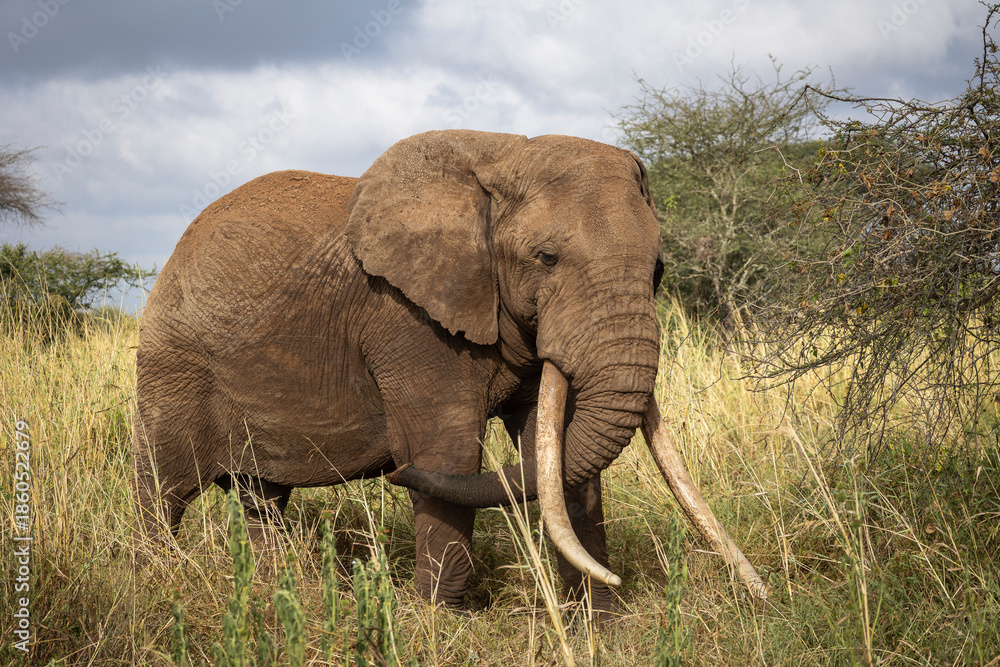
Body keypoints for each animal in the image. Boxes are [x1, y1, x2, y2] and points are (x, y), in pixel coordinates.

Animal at [132, 129, 765, 613]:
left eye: (657, 270)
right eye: (547, 258)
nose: (390, 473)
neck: (503, 158)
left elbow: (555, 451)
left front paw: (599, 625)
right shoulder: (409, 320)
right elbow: (449, 455)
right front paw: (444, 621)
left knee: (261, 499)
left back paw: (276, 592)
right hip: (172, 361)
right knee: (164, 487)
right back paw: (155, 577)